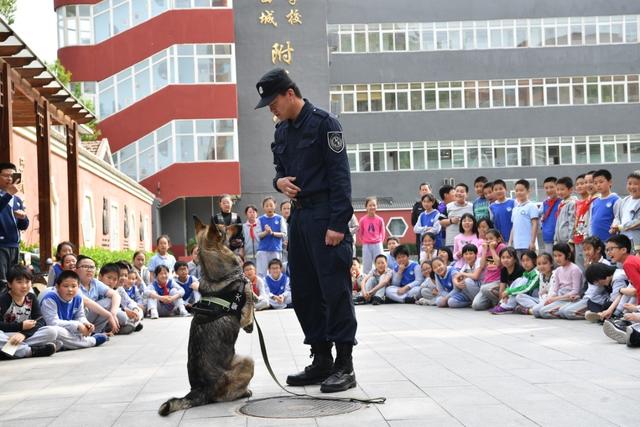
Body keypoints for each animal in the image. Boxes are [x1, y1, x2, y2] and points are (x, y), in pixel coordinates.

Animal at [159, 217, 255, 414]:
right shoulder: (244, 297)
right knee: (225, 397)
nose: (240, 224)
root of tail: (199, 390)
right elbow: (248, 286)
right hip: (248, 361)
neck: (215, 277)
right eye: (223, 229)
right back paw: (244, 392)